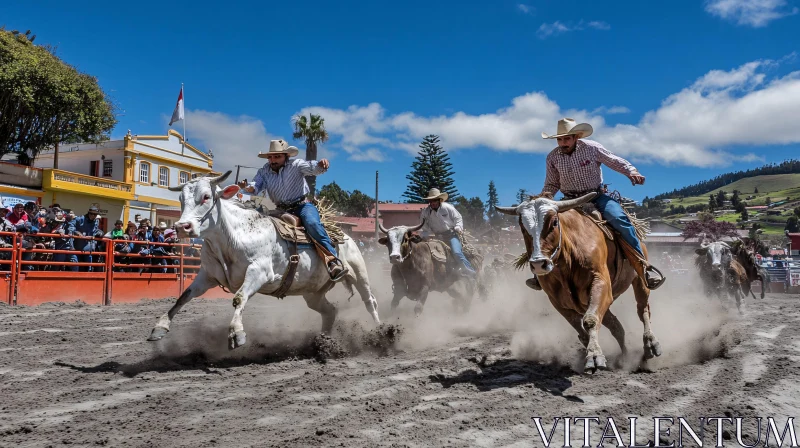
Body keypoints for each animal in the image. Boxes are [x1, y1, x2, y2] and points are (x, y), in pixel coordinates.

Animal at [148, 172, 382, 350]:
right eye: (181, 200)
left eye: (206, 196)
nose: (182, 227)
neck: (233, 237)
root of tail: (344, 235)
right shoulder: (207, 275)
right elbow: (184, 296)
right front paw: (159, 327)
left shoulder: (259, 272)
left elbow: (239, 298)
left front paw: (236, 333)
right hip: (312, 292)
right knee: (330, 311)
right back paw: (323, 342)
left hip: (358, 272)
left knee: (370, 301)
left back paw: (380, 333)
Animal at [494, 192, 664, 372]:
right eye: (522, 227)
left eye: (554, 222)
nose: (539, 264)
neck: (568, 260)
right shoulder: (558, 302)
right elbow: (583, 331)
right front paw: (590, 352)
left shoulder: (601, 283)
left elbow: (590, 320)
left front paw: (594, 355)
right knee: (617, 327)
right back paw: (624, 358)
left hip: (639, 279)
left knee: (643, 309)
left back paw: (650, 345)